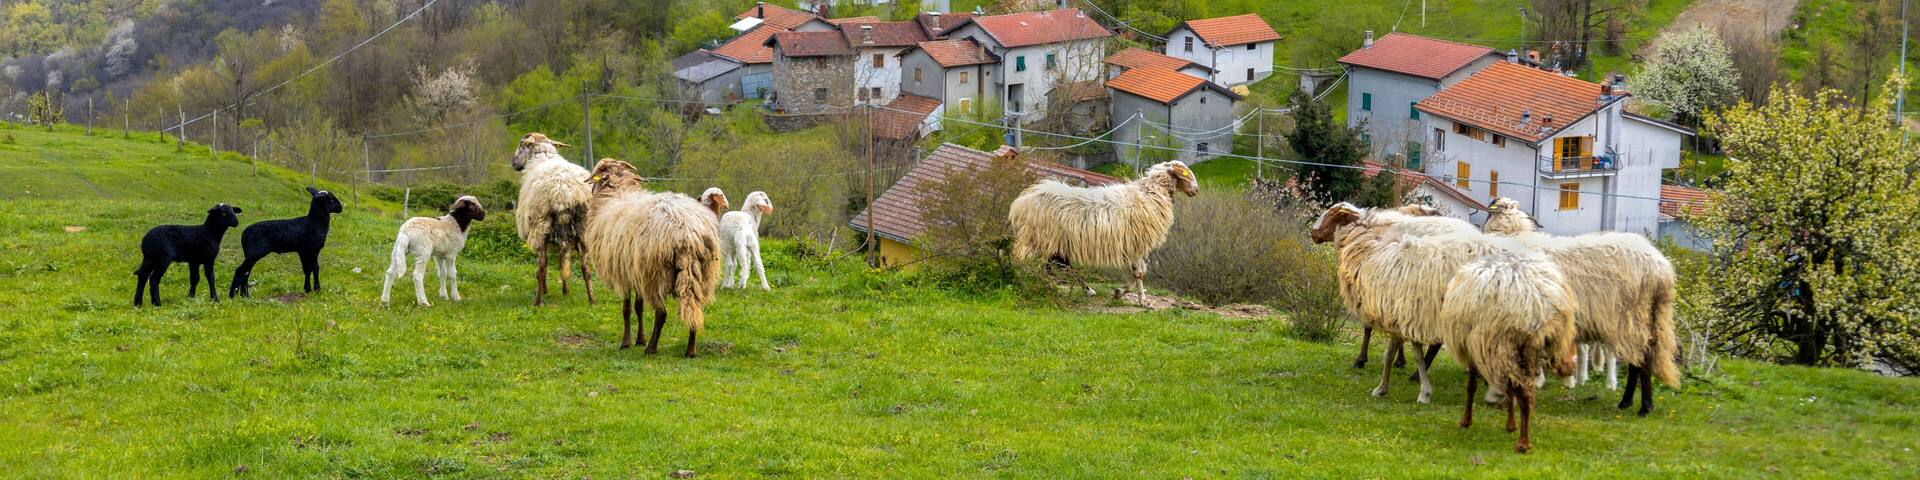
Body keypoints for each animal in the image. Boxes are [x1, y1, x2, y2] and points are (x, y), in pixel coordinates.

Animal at [511, 132, 595, 306]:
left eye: (521, 144)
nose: (513, 163)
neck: (543, 156)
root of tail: (564, 193)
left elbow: (548, 263)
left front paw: (546, 289)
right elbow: (563, 262)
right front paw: (565, 291)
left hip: (540, 225)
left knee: (542, 266)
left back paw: (537, 300)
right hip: (584, 228)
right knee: (584, 266)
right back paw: (592, 299)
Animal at [582, 159, 723, 357]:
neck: (616, 191)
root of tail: (687, 230)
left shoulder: (624, 273)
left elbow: (626, 308)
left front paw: (627, 342)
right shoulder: (636, 271)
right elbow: (638, 306)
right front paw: (639, 339)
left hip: (658, 273)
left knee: (661, 313)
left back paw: (651, 348)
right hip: (700, 272)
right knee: (694, 307)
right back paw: (690, 350)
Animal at [1009, 160, 1199, 303]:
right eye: (1186, 174)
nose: (1196, 190)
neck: (1151, 194)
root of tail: (1021, 202)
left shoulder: (1134, 245)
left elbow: (1139, 272)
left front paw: (1121, 292)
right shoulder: (1136, 244)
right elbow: (1139, 272)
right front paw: (1141, 299)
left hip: (1054, 241)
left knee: (1057, 265)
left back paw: (1081, 289)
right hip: (1040, 237)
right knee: (1036, 263)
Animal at [1480, 197, 1681, 416]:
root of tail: (1661, 268)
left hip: (1629, 318)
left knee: (1641, 360)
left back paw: (1644, 407)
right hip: (1647, 317)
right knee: (1639, 359)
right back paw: (1627, 402)